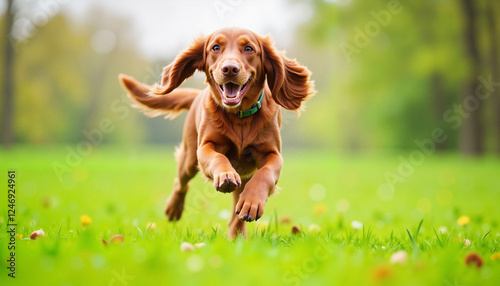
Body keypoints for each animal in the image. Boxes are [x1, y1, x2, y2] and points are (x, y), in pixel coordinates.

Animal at [117, 26, 314, 238]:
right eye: (215, 47)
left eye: (249, 49)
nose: (230, 68)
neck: (239, 117)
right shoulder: (205, 147)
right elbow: (217, 158)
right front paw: (225, 176)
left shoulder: (272, 154)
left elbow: (265, 173)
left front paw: (252, 202)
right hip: (189, 158)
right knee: (181, 182)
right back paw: (174, 208)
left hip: (242, 178)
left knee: (235, 214)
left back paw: (238, 234)